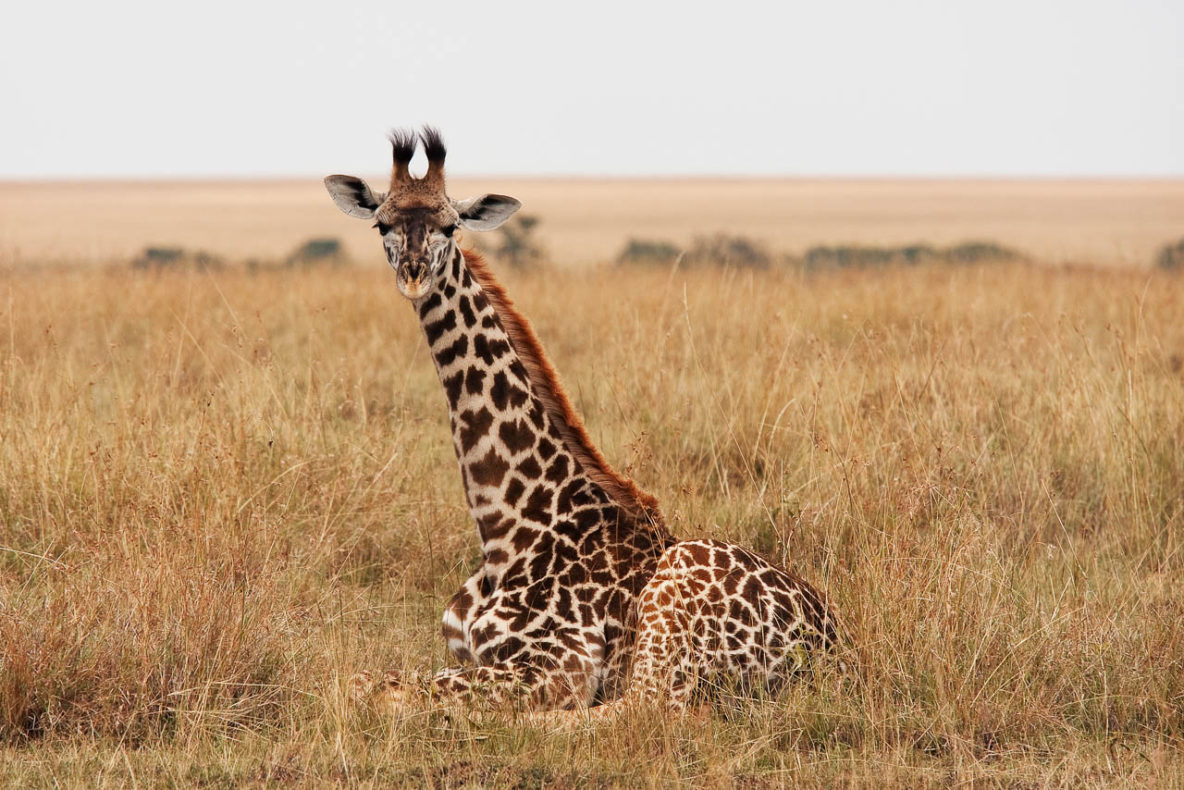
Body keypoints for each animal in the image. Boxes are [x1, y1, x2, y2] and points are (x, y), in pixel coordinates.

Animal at [324, 126, 843, 715]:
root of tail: (836, 648)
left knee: (641, 711)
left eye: (451, 225)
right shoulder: (469, 650)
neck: (508, 527)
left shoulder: (556, 664)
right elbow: (360, 679)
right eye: (382, 223)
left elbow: (385, 687)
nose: (413, 276)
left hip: (672, 612)